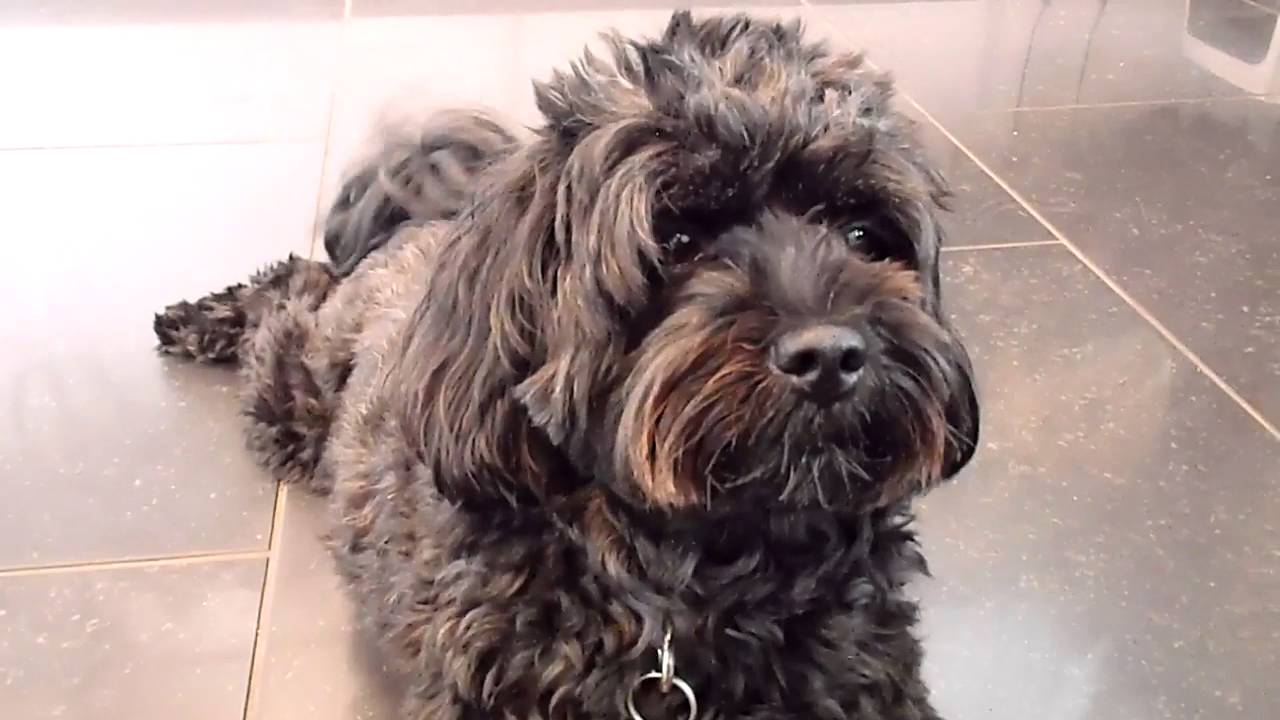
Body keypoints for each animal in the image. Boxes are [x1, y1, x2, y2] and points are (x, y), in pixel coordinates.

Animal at [154, 12, 979, 720]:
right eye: (677, 240)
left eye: (863, 234)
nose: (830, 355)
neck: (697, 577)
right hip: (296, 394)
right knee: (290, 294)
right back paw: (200, 319)